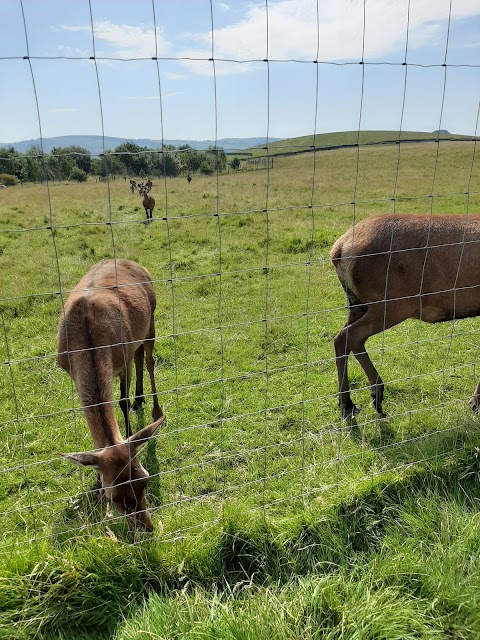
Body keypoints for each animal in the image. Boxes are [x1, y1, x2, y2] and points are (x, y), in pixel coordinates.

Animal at [56, 258, 163, 532]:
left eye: (145, 480)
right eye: (112, 496)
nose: (147, 527)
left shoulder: (122, 359)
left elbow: (121, 401)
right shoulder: (71, 373)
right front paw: (94, 475)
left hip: (151, 319)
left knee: (148, 359)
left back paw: (155, 409)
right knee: (139, 356)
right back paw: (139, 398)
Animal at [332, 212, 480, 418]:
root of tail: (339, 249)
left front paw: (474, 402)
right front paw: (475, 402)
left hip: (357, 303)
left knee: (344, 338)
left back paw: (351, 401)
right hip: (394, 304)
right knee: (348, 336)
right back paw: (361, 398)